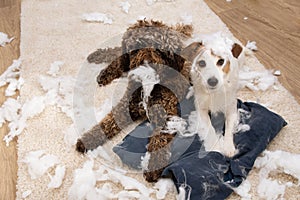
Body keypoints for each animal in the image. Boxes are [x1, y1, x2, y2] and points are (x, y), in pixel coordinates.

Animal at [75, 19, 192, 182]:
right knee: (118, 54)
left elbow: (159, 141)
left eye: (158, 49)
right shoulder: (126, 106)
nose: (145, 62)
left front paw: (153, 164)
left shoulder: (167, 115)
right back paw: (100, 64)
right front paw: (89, 139)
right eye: (136, 46)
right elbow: (107, 123)